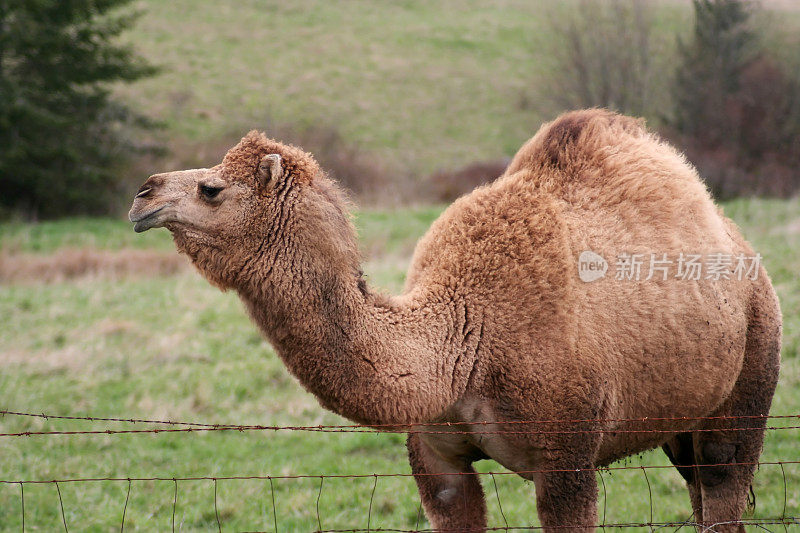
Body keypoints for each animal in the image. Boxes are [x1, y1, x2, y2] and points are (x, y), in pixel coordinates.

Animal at [131, 110, 780, 528]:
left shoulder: (566, 458)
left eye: (212, 188)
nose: (143, 194)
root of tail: (743, 250)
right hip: (681, 418)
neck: (463, 341)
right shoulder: (437, 459)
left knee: (723, 477)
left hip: (753, 365)